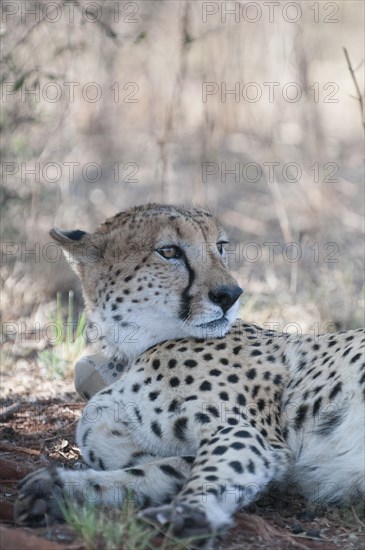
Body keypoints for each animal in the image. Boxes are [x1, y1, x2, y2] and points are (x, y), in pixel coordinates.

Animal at [14, 205, 364, 544]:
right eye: (169, 251)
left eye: (219, 246)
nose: (230, 294)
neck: (133, 350)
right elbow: (150, 473)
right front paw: (61, 488)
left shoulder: (251, 434)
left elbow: (216, 468)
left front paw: (189, 511)